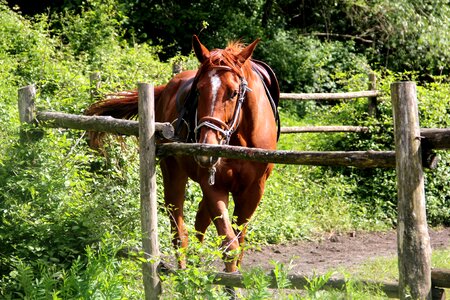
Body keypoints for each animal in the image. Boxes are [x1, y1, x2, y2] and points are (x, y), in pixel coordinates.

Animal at [86, 35, 280, 272]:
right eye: (198, 91)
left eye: (234, 93)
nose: (207, 148)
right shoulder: (213, 185)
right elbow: (229, 243)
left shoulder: (254, 191)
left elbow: (238, 241)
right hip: (173, 173)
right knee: (179, 231)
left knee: (199, 221)